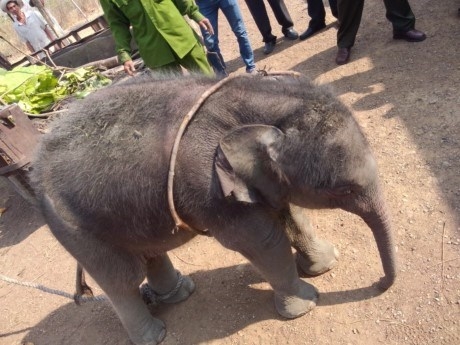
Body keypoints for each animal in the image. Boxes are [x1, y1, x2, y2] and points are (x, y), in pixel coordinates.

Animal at [31, 72, 396, 344]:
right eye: (341, 189)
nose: (379, 283)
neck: (251, 101)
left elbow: (290, 212)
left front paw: (325, 264)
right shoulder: (210, 186)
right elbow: (262, 240)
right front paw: (306, 303)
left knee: (149, 253)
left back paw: (179, 294)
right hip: (73, 227)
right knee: (121, 280)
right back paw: (155, 335)